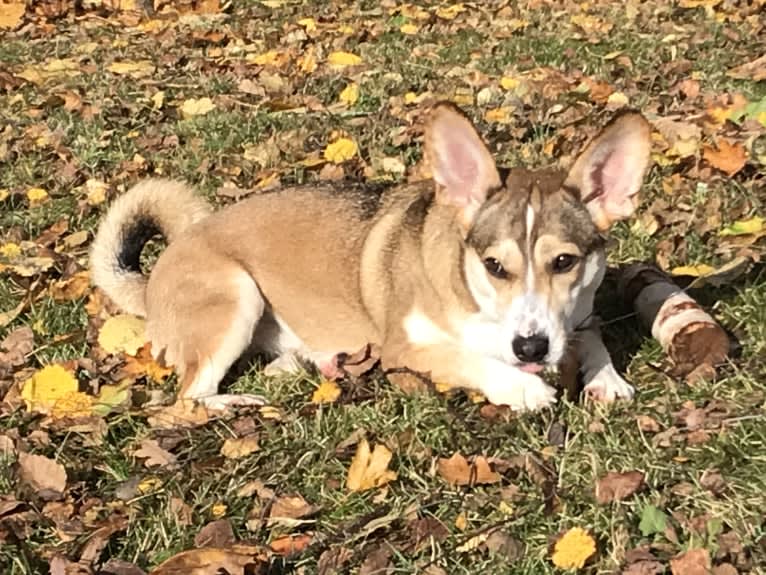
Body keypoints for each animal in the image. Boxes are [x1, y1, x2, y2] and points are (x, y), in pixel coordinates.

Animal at [91, 102, 656, 410]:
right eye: (495, 266)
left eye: (564, 262)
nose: (531, 348)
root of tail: (154, 278)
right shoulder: (403, 350)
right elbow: (467, 358)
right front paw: (521, 389)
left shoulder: (577, 316)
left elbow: (592, 336)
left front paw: (607, 379)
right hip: (237, 293)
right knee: (190, 396)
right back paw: (235, 401)